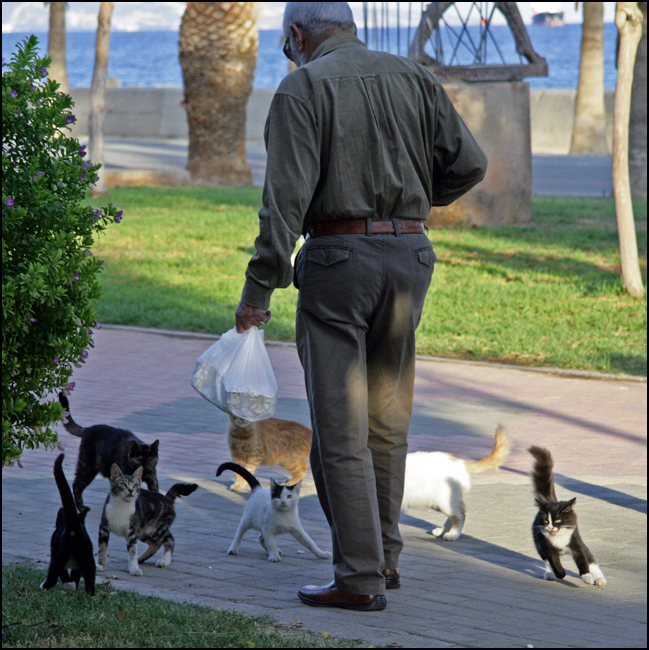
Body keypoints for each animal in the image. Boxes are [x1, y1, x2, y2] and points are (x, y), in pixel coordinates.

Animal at [40, 454, 95, 596]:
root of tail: (74, 528)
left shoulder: (54, 552)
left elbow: (63, 573)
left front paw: (69, 584)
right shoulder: (79, 566)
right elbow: (76, 575)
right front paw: (73, 585)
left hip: (59, 554)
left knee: (53, 573)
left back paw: (45, 586)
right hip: (87, 556)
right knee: (90, 577)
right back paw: (90, 594)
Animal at [528, 442, 604, 584]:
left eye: (558, 520)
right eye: (546, 521)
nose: (551, 527)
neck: (559, 538)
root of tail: (550, 500)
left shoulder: (575, 542)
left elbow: (582, 560)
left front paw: (586, 576)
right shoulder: (546, 546)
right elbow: (554, 562)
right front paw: (560, 574)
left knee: (590, 559)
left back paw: (600, 579)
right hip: (539, 544)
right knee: (547, 562)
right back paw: (549, 574)